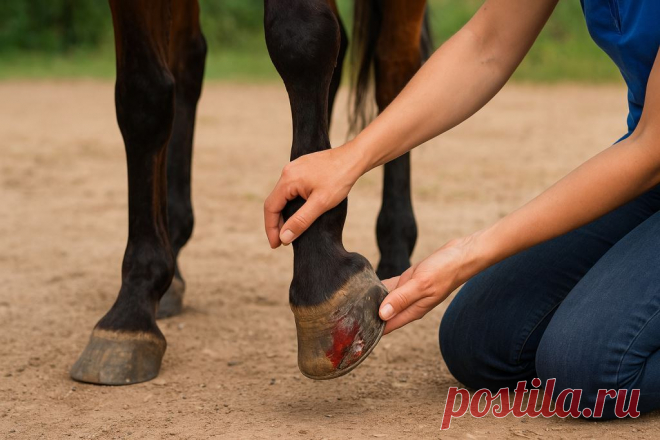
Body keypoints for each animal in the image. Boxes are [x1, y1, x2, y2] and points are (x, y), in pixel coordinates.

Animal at [70, 0, 430, 385]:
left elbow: (301, 40)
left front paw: (321, 279)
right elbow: (143, 97)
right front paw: (132, 310)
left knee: (395, 71)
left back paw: (395, 247)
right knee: (188, 60)